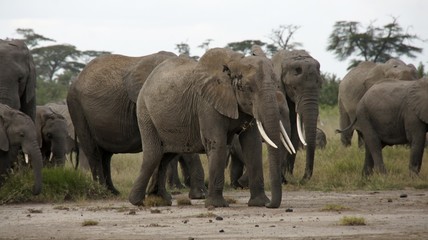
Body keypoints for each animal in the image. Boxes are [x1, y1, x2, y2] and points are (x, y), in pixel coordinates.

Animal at [66, 51, 206, 199]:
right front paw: (199, 195)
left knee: (106, 155)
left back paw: (113, 192)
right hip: (77, 108)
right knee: (93, 151)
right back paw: (102, 193)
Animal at [127, 48, 294, 208]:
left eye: (276, 84)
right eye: (247, 88)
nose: (270, 205)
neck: (235, 63)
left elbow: (252, 145)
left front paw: (259, 203)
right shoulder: (206, 104)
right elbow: (217, 143)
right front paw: (216, 205)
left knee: (166, 155)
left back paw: (161, 200)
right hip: (145, 114)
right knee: (153, 155)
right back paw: (137, 201)